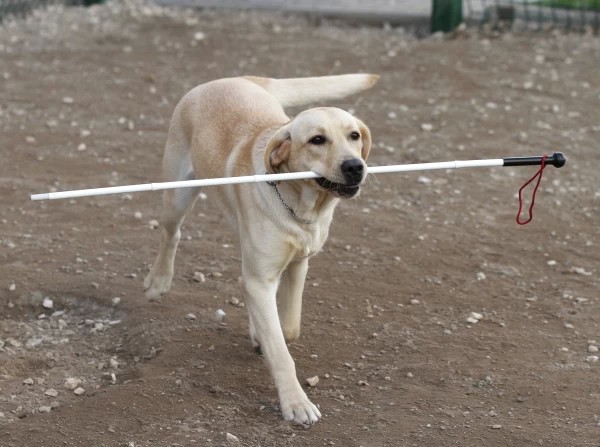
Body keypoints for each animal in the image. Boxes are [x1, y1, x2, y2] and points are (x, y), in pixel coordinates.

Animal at [144, 75, 378, 426]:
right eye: (317, 140)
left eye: (354, 135)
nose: (355, 166)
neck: (300, 204)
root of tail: (234, 78)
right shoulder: (260, 278)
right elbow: (281, 353)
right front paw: (296, 403)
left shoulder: (296, 265)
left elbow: (289, 328)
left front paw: (262, 334)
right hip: (177, 195)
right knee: (171, 234)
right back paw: (158, 281)